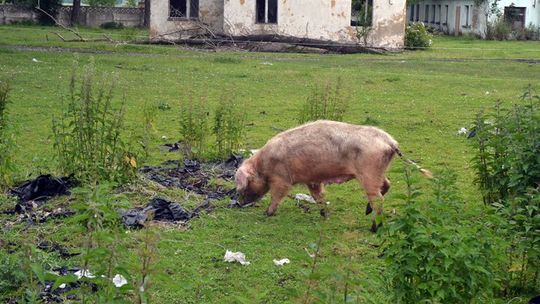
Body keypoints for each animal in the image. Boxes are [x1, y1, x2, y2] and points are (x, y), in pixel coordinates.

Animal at [233, 120, 404, 232]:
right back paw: (368, 212)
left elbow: (277, 195)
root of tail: (390, 142)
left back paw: (374, 228)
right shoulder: (313, 180)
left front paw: (267, 213)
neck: (263, 165)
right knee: (387, 184)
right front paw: (324, 215)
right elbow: (318, 196)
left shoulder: (281, 179)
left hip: (369, 172)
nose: (240, 203)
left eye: (244, 185)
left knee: (378, 199)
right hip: (379, 171)